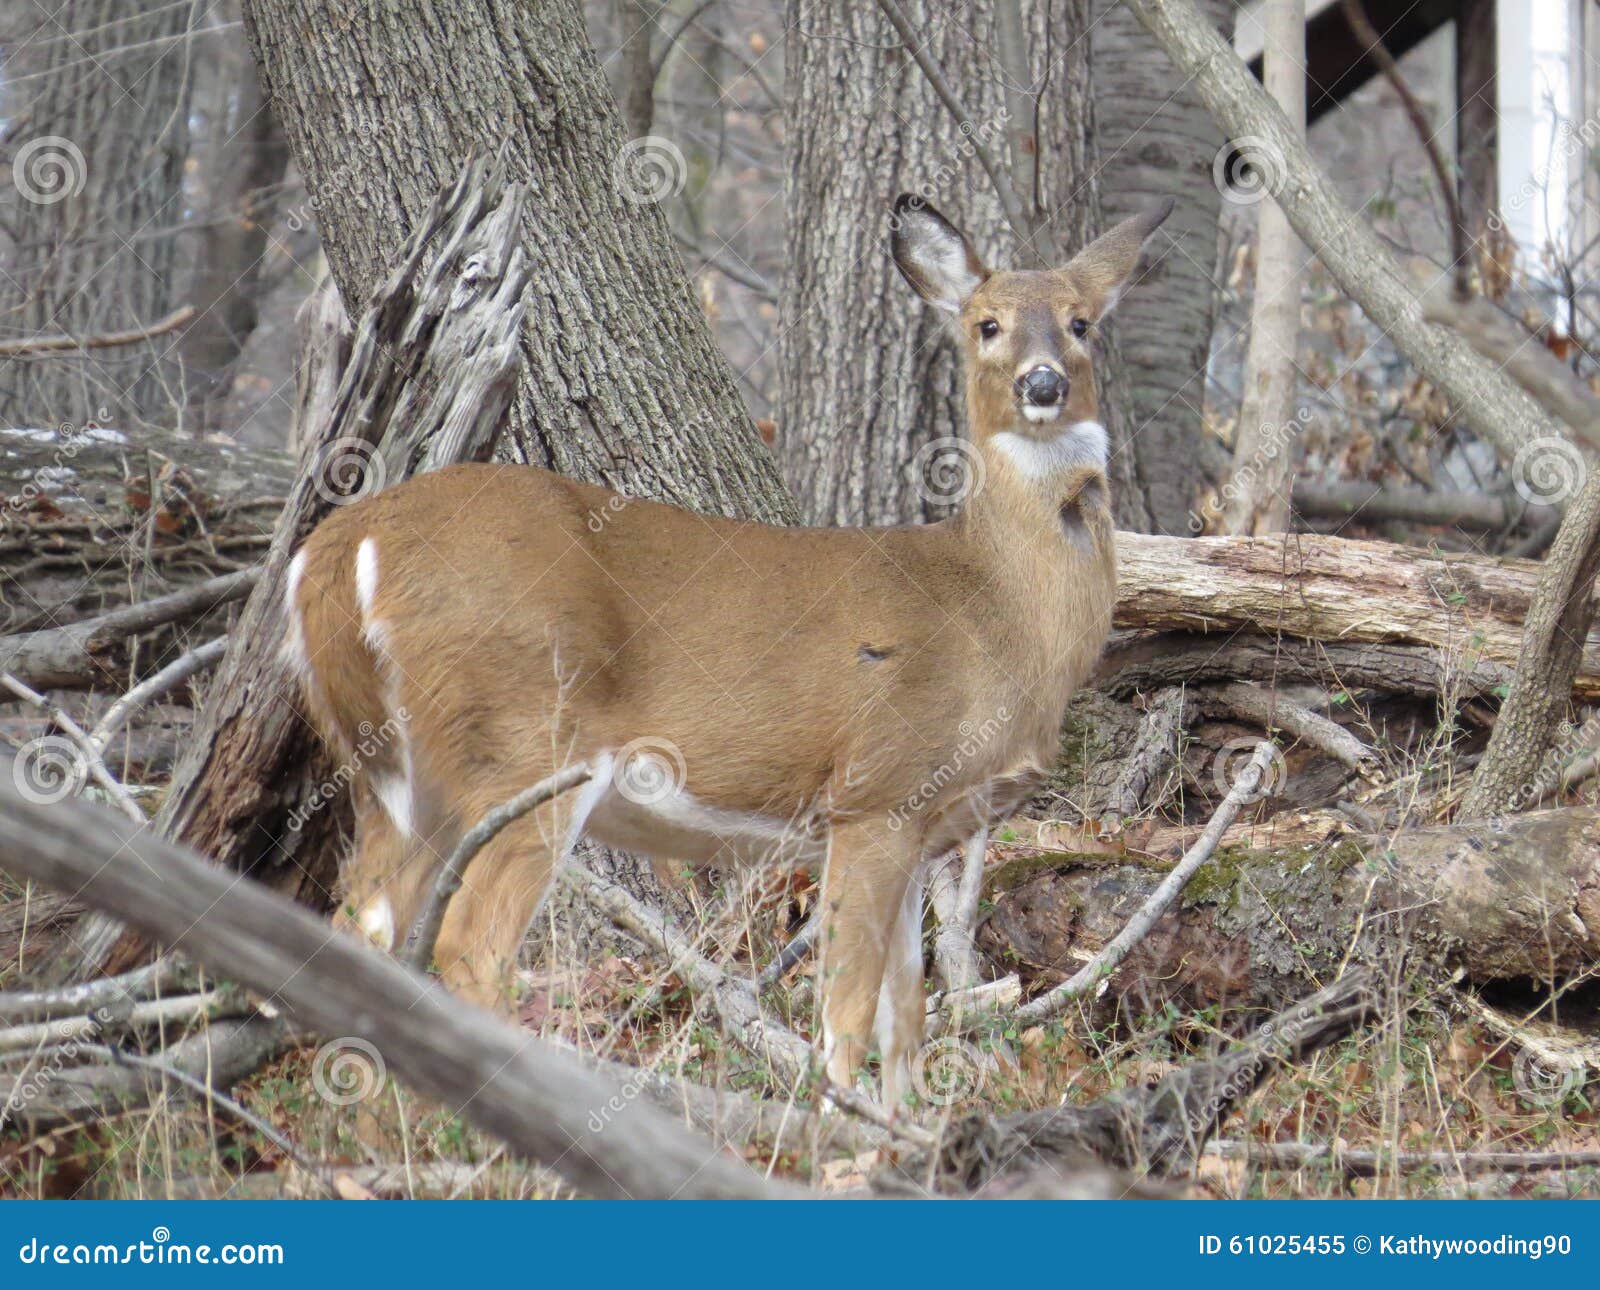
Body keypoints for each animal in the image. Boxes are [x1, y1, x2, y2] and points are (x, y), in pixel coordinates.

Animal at [282, 193, 1172, 1106]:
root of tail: (338, 552)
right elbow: (848, 1010)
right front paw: (837, 1117)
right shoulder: (876, 788)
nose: (1043, 383)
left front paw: (902, 1124)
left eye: (1080, 321)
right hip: (524, 740)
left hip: (388, 768)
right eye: (987, 324)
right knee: (468, 947)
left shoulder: (924, 824)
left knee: (362, 932)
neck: (995, 609)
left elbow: (907, 1016)